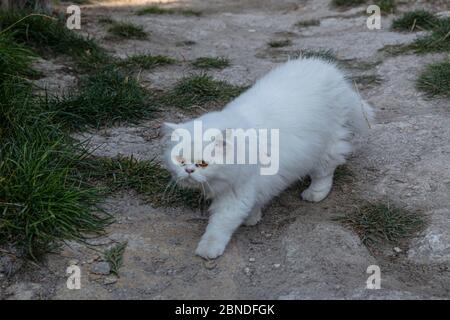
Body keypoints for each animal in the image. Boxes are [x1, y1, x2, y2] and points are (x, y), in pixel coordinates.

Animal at [162, 57, 372, 258]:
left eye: (203, 164)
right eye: (181, 161)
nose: (189, 170)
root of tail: (332, 72)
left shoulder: (237, 194)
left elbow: (219, 226)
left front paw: (208, 250)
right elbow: (253, 205)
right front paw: (252, 218)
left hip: (325, 147)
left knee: (325, 173)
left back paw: (314, 194)